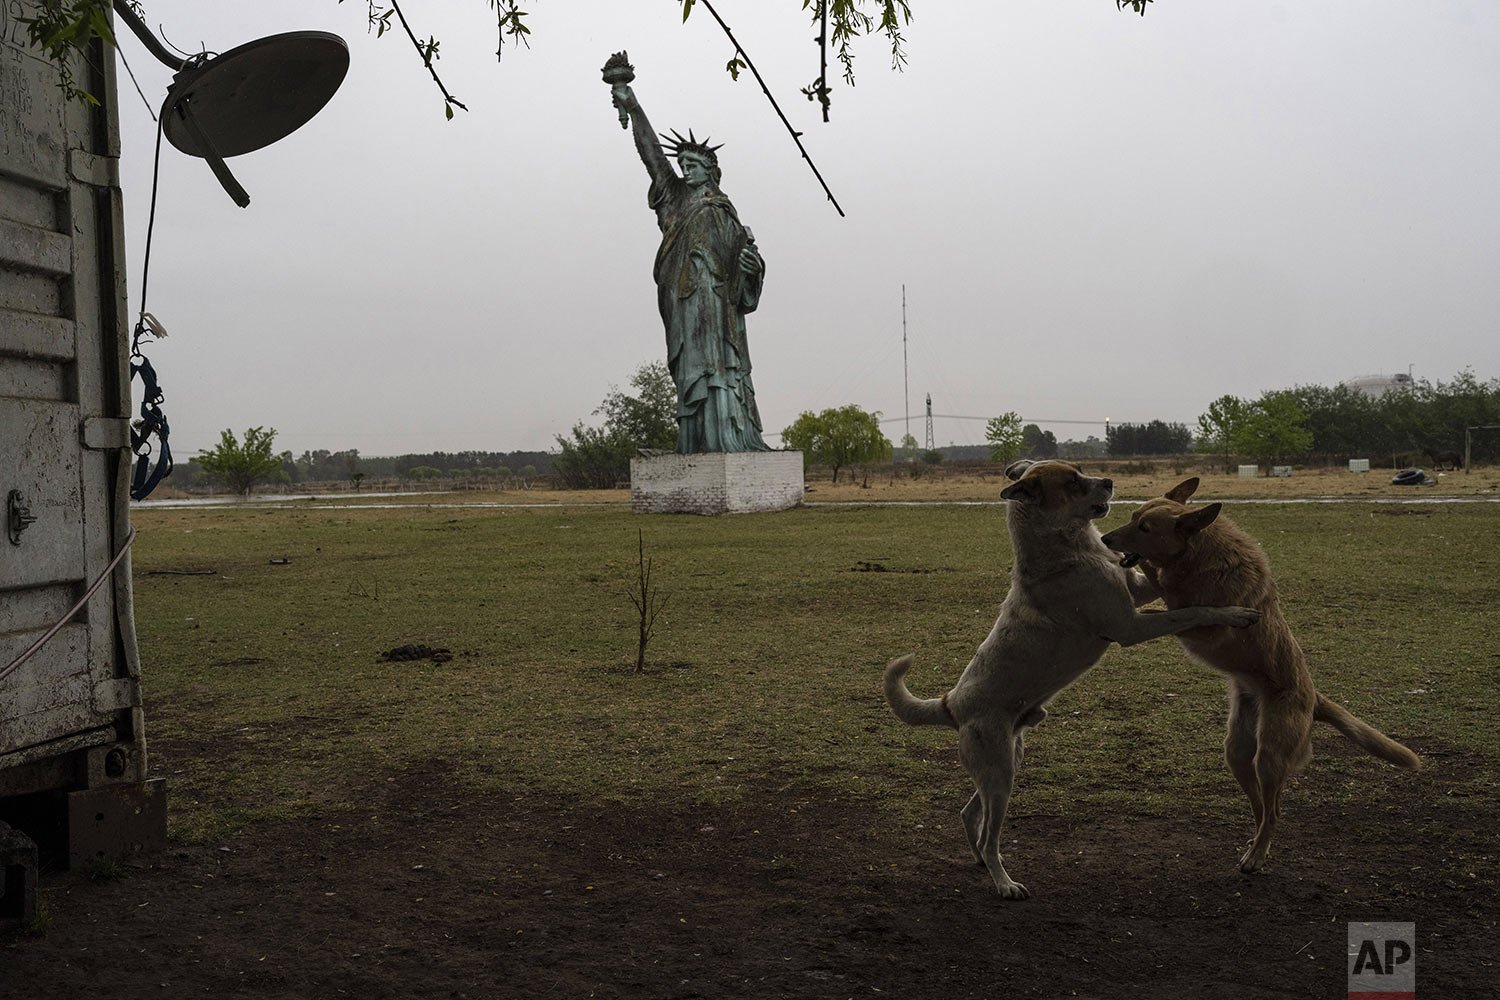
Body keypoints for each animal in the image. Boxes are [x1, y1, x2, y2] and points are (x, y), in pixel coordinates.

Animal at [882, 461, 1260, 899]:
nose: (1110, 481)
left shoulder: (1135, 591)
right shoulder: (1130, 626)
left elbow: (1162, 581)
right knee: (991, 834)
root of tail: (951, 703)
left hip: (1007, 763)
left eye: (1080, 470)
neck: (1070, 549)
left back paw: (979, 859)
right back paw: (1004, 882)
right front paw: (1235, 613)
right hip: (999, 774)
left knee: (968, 813)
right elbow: (1193, 611)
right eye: (1073, 481)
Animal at [1098, 479, 1422, 869]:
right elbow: (1168, 592)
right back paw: (1254, 844)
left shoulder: (1199, 626)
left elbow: (1185, 605)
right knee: (1261, 808)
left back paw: (1256, 855)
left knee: (1274, 811)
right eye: (1133, 517)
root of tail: (1314, 699)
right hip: (1238, 752)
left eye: (1145, 528)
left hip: (1269, 755)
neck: (1198, 556)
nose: (1106, 539)